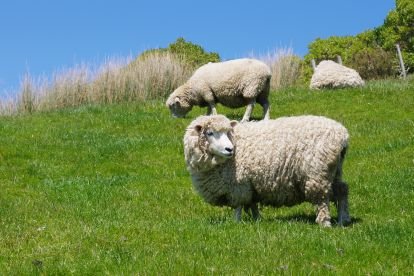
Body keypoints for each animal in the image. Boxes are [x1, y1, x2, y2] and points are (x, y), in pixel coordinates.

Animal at [184, 114, 350, 226]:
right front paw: (256, 220)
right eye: (210, 133)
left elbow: (238, 205)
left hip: (317, 173)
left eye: (228, 132)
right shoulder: (251, 185)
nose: (229, 149)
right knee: (342, 190)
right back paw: (343, 220)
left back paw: (325, 224)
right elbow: (252, 204)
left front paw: (235, 223)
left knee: (322, 200)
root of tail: (343, 135)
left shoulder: (238, 185)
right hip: (334, 171)